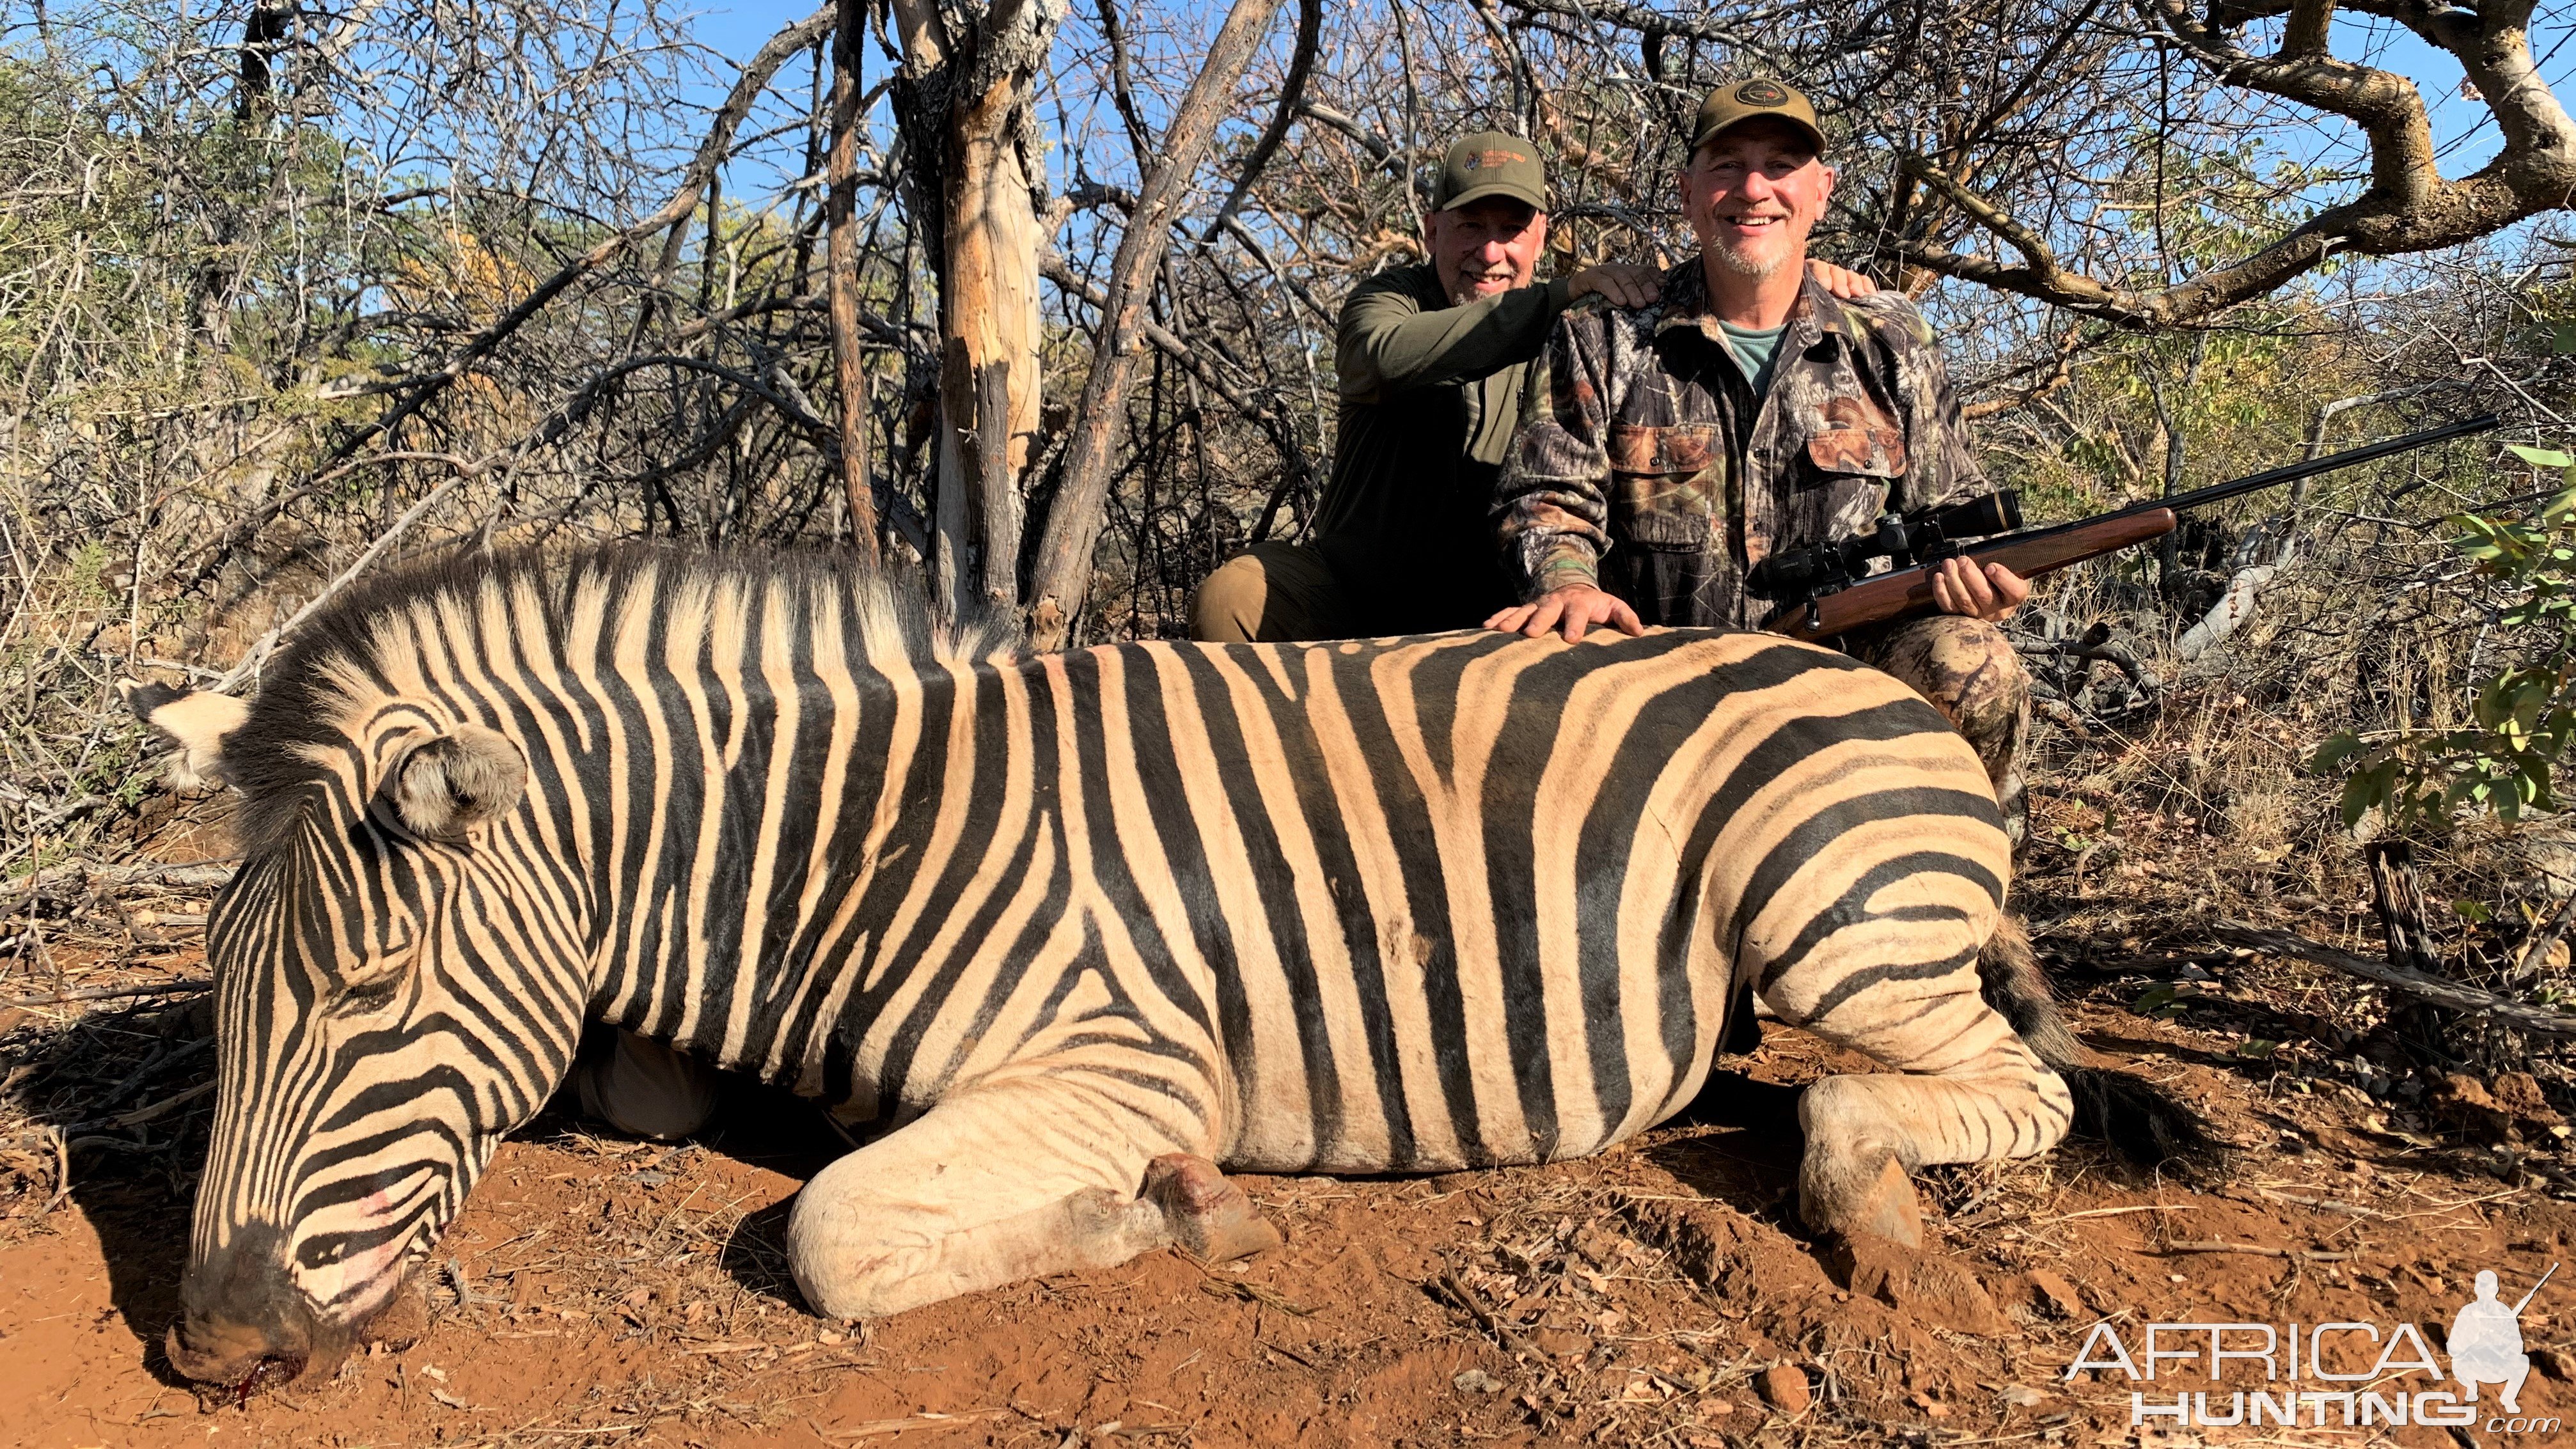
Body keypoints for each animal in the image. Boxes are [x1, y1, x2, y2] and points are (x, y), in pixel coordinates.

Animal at [125, 540, 2215, 1390]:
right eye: (221, 990)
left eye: (368, 1000)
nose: (214, 1346)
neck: (835, 840)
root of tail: (1877, 692)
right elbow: (642, 1085)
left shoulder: (1117, 1061)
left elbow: (833, 1231)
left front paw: (1177, 1214)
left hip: (1828, 911)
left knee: (1987, 1083)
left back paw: (1867, 1195)